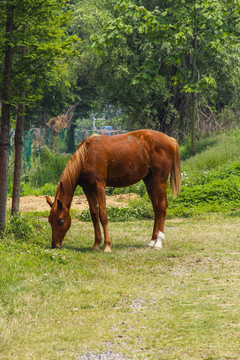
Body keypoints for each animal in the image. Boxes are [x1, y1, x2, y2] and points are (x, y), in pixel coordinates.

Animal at [46, 129, 181, 250]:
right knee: (156, 208)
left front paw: (107, 245)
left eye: (60, 220)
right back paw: (152, 241)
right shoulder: (87, 188)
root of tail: (170, 140)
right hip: (149, 180)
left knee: (162, 207)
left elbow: (103, 215)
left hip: (160, 180)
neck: (87, 155)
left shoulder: (99, 186)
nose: (55, 245)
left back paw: (158, 242)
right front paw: (96, 244)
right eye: (50, 221)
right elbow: (94, 214)